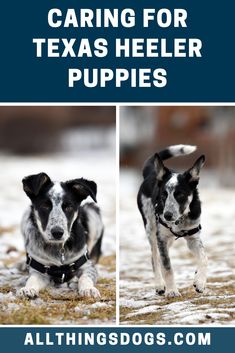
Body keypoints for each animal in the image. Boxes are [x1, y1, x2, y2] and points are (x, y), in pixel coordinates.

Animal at [138, 144, 207, 296]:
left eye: (180, 194)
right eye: (163, 195)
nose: (167, 215)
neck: (180, 220)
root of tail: (151, 172)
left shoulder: (193, 237)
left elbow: (204, 258)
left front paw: (199, 282)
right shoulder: (162, 238)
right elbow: (167, 266)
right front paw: (172, 291)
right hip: (151, 230)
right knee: (155, 258)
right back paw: (159, 285)